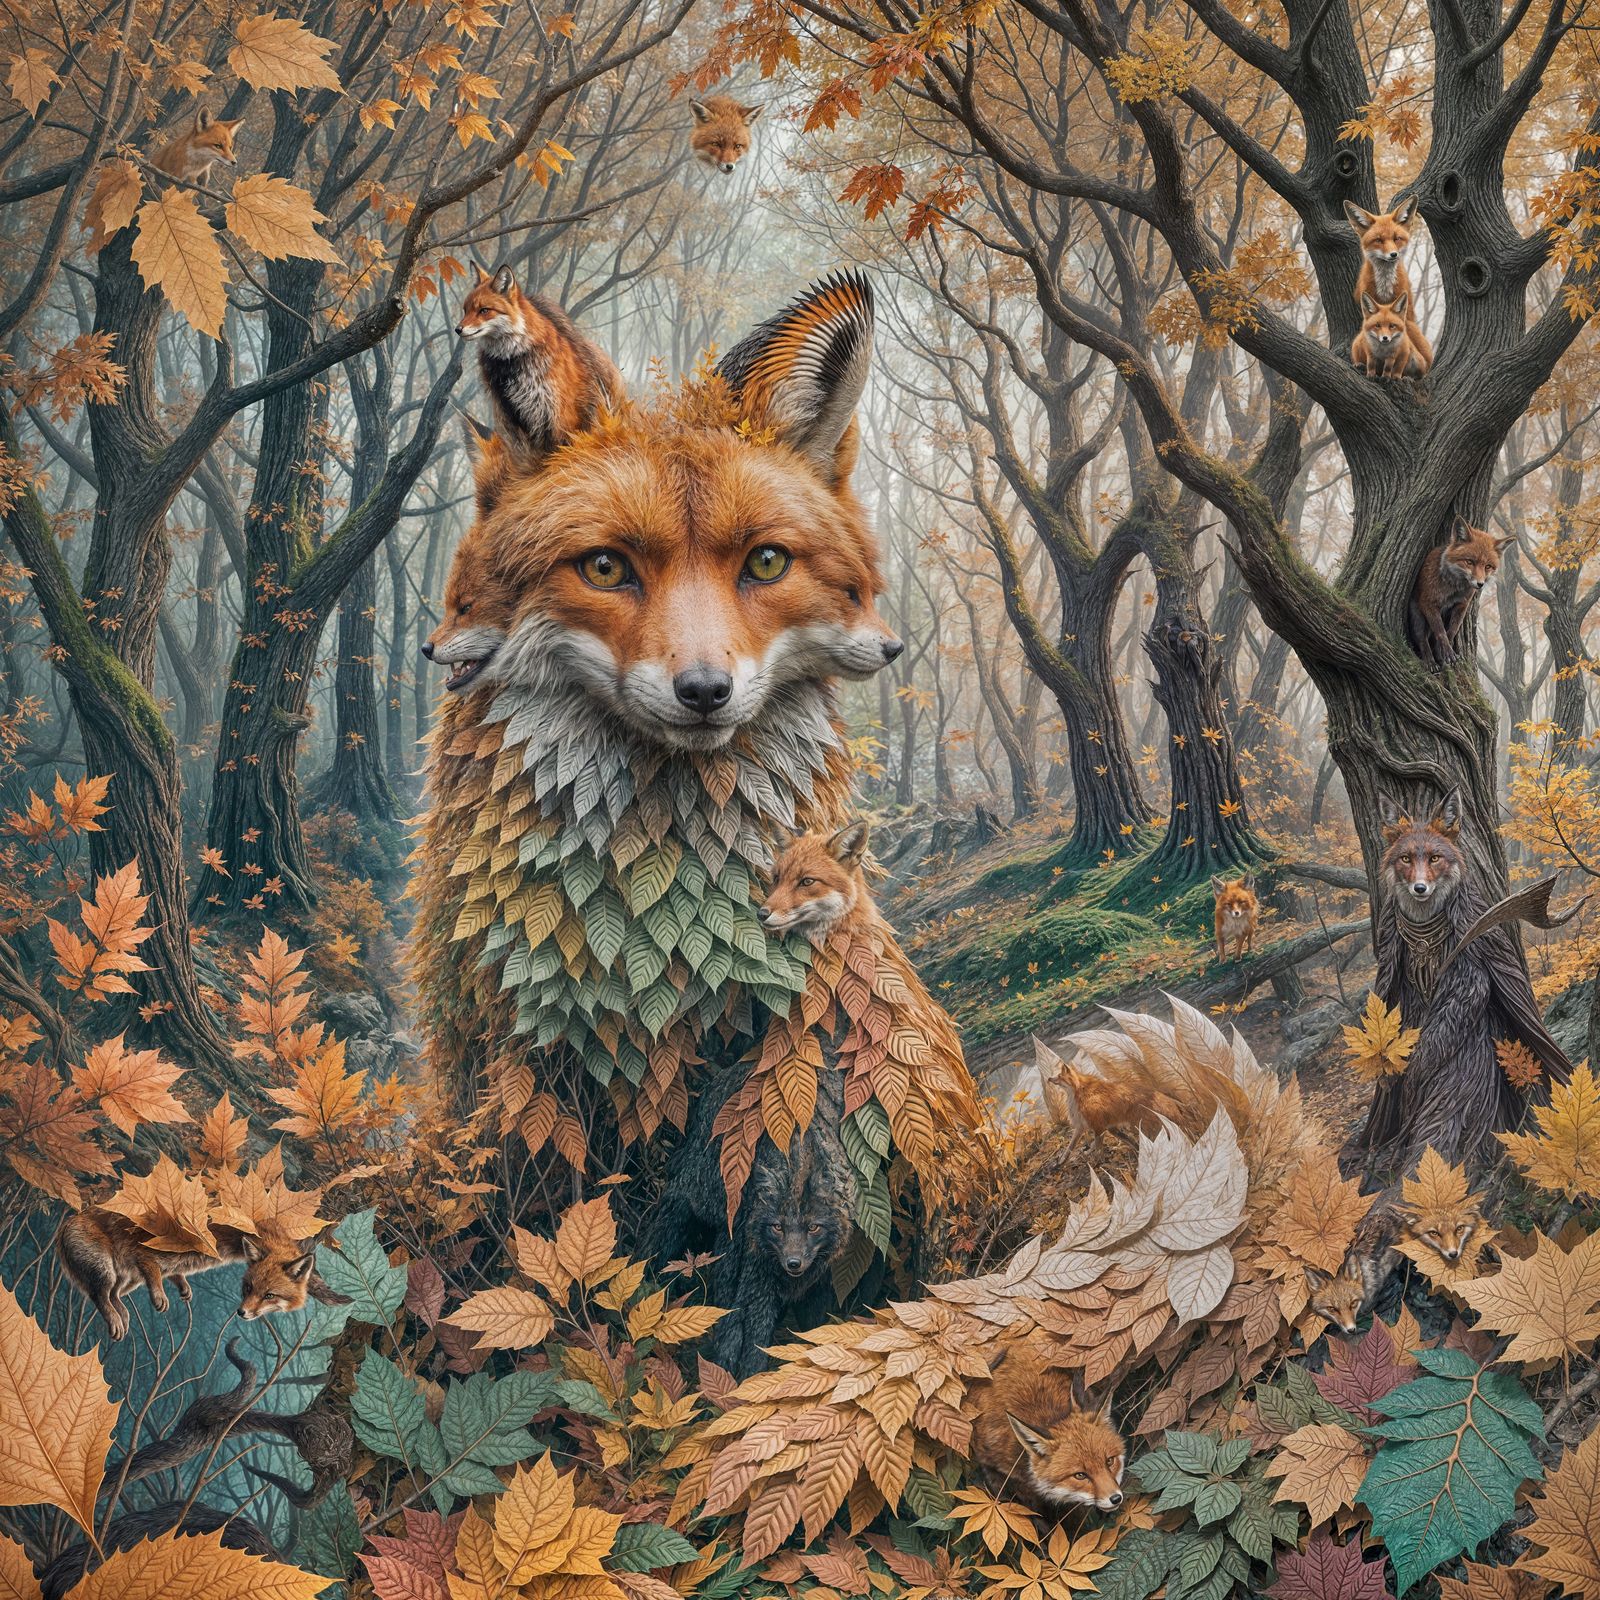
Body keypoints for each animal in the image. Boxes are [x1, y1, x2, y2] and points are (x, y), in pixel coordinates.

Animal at [57, 1210, 347, 1340]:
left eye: (269, 1295)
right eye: (247, 1288)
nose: (241, 1312)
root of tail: (68, 1220)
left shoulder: (166, 1263)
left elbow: (172, 1274)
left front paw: (182, 1287)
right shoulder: (145, 1253)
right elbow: (155, 1273)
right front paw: (161, 1296)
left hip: (127, 1279)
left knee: (114, 1296)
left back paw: (124, 1316)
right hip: (106, 1270)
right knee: (99, 1296)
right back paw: (116, 1320)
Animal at [1407, 517, 1514, 666]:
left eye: (1488, 566)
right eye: (1469, 562)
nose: (1480, 584)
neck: (1453, 588)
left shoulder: (1461, 605)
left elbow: (1452, 630)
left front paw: (1443, 652)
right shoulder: (1428, 603)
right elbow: (1440, 631)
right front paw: (1446, 651)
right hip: (1418, 616)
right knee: (1421, 638)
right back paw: (1429, 661)